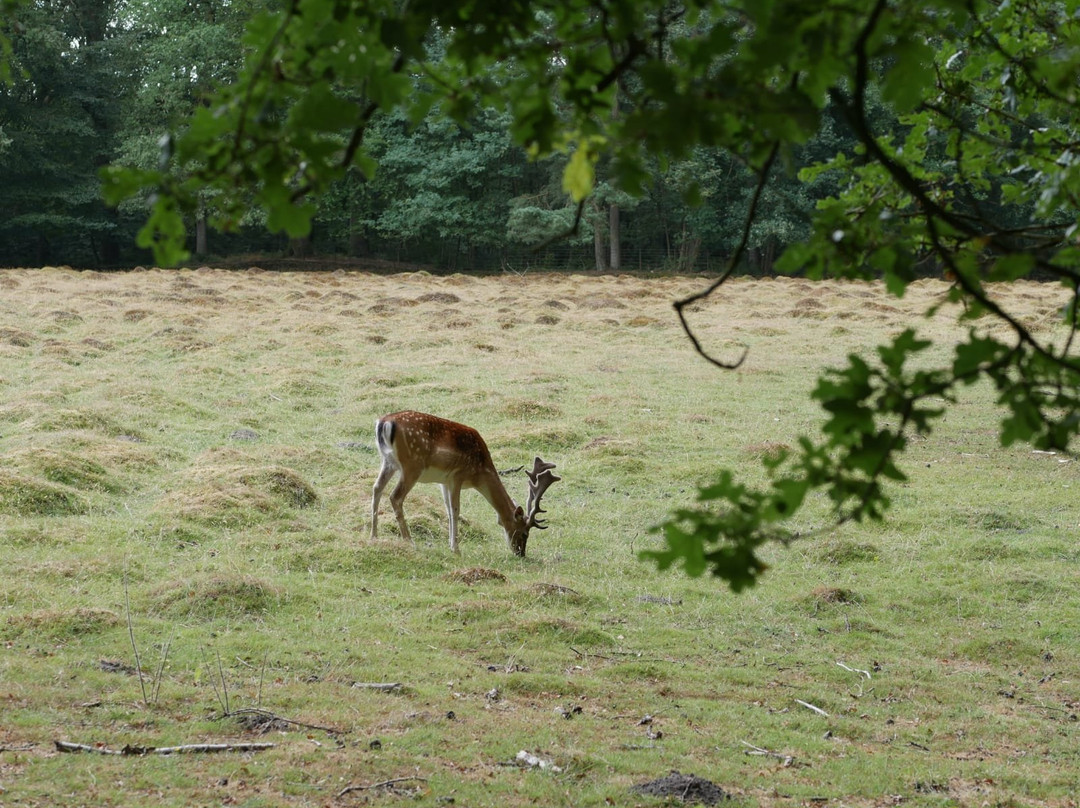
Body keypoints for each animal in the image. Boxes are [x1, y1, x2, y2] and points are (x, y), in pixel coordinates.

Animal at [369, 410, 561, 557]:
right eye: (524, 533)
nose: (520, 553)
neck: (479, 473)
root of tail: (383, 423)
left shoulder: (444, 481)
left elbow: (447, 509)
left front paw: (450, 544)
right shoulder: (458, 475)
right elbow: (455, 510)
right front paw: (456, 549)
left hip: (388, 462)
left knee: (376, 488)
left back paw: (374, 536)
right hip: (412, 465)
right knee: (395, 496)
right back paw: (409, 541)